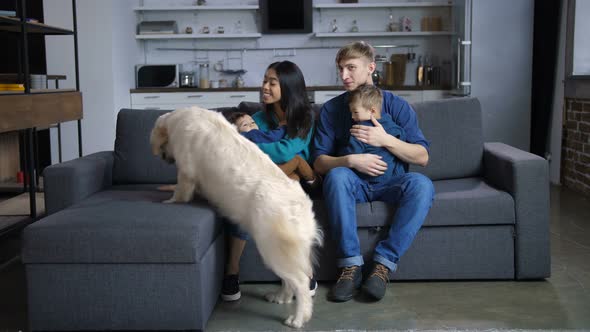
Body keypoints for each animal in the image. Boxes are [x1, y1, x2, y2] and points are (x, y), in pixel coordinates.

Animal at [150, 105, 322, 326]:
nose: (165, 158)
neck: (178, 119)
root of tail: (303, 207)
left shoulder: (186, 170)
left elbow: (181, 191)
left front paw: (170, 201)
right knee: (289, 281)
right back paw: (280, 297)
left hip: (272, 248)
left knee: (300, 282)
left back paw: (298, 318)